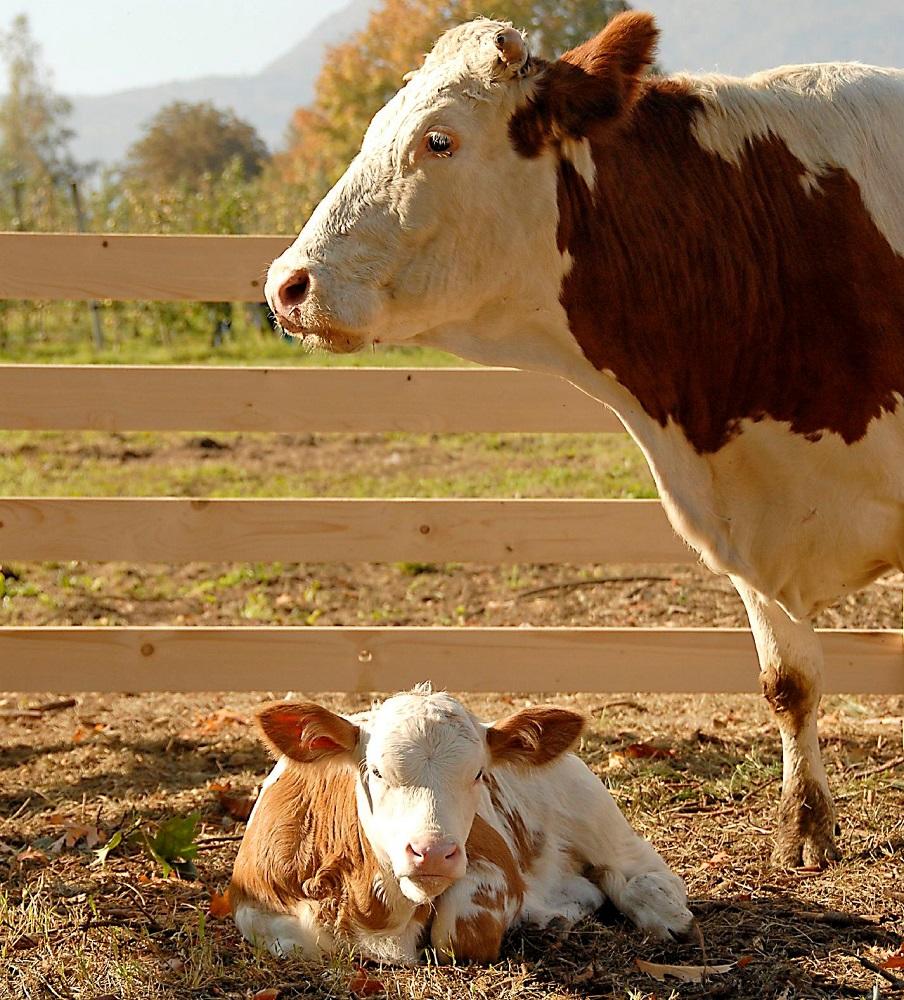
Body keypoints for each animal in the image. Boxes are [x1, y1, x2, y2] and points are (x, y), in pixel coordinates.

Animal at [228, 688, 692, 960]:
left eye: (478, 774)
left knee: (638, 874)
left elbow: (458, 935)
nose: (432, 852)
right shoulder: (252, 903)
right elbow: (293, 944)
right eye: (375, 771)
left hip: (595, 813)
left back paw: (666, 914)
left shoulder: (495, 868)